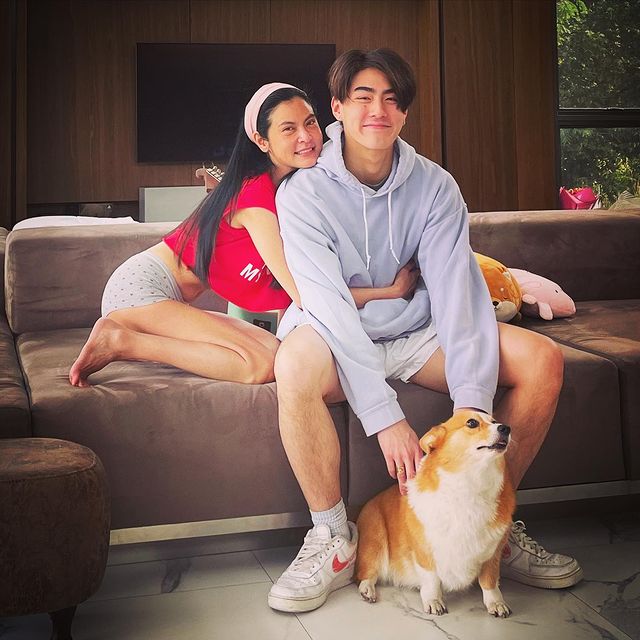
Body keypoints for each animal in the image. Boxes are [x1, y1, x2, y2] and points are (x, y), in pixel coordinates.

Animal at [355, 410, 515, 618]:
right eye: (472, 423)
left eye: (495, 421)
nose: (506, 428)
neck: (470, 484)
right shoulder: (424, 552)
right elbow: (431, 581)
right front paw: (433, 601)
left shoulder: (493, 554)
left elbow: (489, 582)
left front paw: (496, 603)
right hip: (375, 542)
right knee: (366, 573)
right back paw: (367, 589)